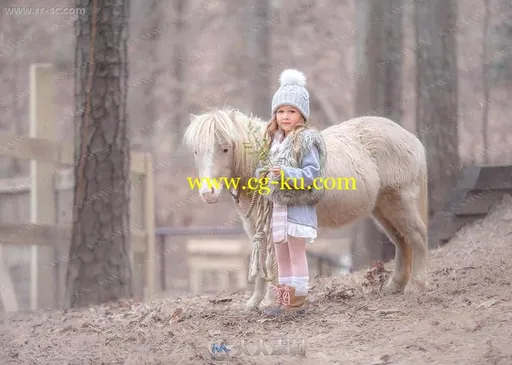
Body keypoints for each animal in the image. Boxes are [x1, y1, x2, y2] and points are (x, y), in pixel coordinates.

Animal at [182, 106, 430, 312]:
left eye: (225, 148)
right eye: (195, 152)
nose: (208, 193)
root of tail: (412, 140)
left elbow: (271, 263)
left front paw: (269, 302)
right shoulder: (256, 227)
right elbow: (260, 260)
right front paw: (254, 303)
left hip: (399, 202)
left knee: (417, 236)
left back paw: (415, 286)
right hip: (382, 209)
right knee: (401, 241)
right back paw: (394, 285)